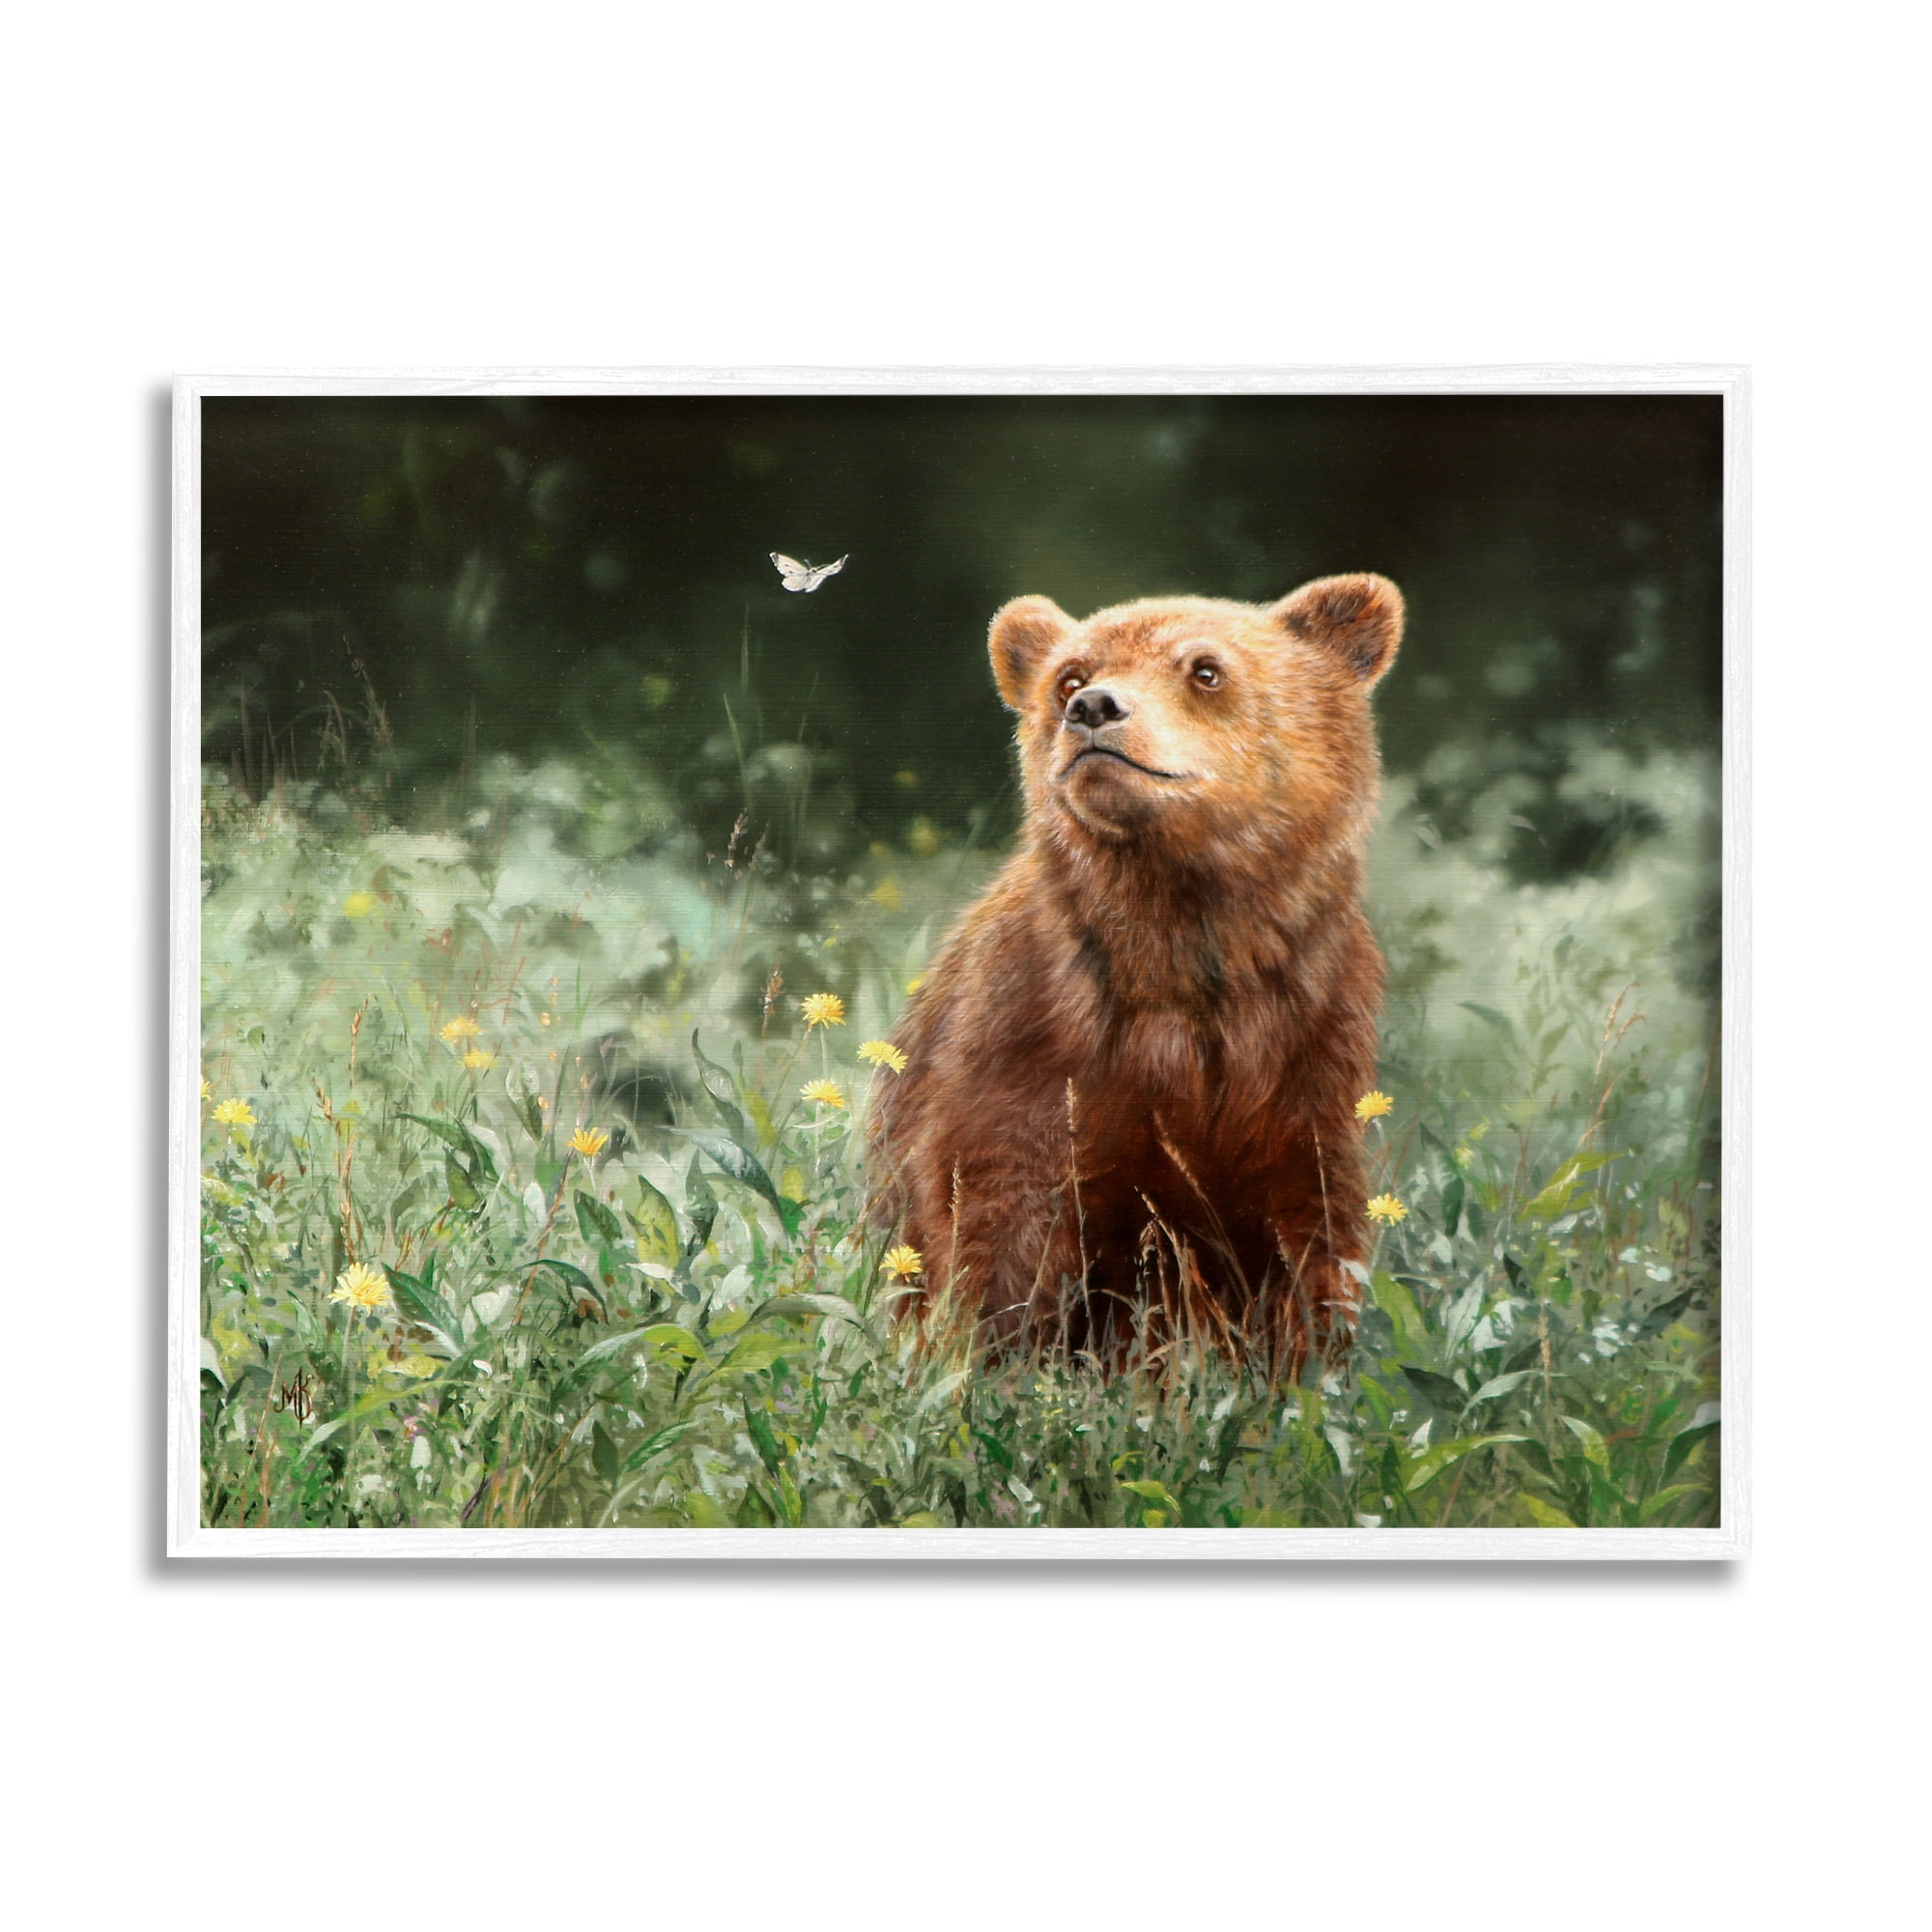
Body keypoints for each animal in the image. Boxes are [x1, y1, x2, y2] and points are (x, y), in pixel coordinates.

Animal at [866, 573, 1403, 1378]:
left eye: (1205, 669)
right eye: (1069, 675)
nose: (1094, 707)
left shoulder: (1303, 1048)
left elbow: (1304, 1232)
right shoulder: (1029, 1044)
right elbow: (996, 1224)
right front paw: (993, 1361)